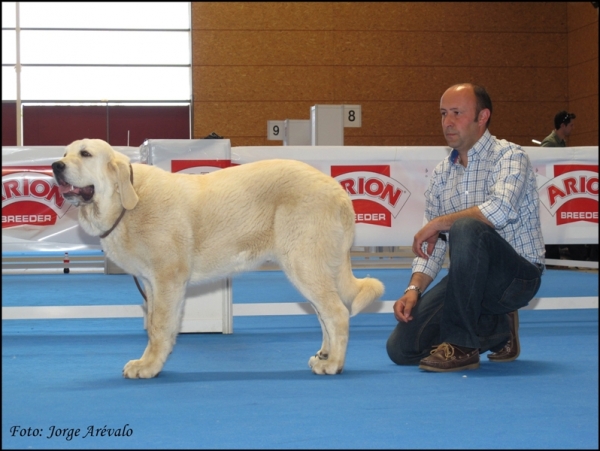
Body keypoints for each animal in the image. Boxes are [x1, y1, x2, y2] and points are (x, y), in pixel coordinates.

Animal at [54, 139, 386, 380]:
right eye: (64, 153)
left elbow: (159, 326)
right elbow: (153, 323)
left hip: (303, 263)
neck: (127, 200)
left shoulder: (167, 278)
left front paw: (148, 367)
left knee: (337, 313)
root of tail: (338, 190)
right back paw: (324, 356)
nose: (56, 165)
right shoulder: (151, 283)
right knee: (324, 313)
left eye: (85, 154)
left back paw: (334, 364)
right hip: (309, 268)